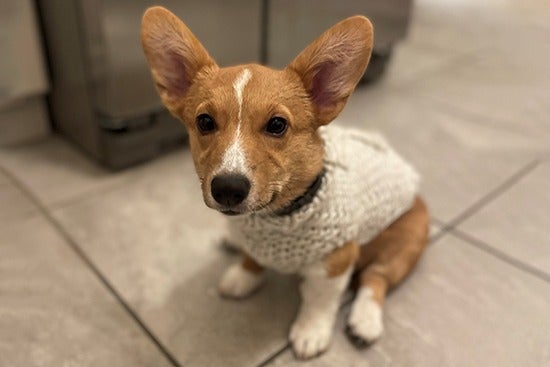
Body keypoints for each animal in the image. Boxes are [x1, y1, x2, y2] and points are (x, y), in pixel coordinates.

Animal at [141, 7, 432, 360]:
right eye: (205, 122)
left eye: (277, 125)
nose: (227, 189)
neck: (274, 220)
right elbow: (252, 258)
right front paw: (243, 274)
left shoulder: (336, 261)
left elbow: (320, 301)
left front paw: (310, 331)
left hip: (403, 244)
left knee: (376, 279)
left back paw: (365, 320)